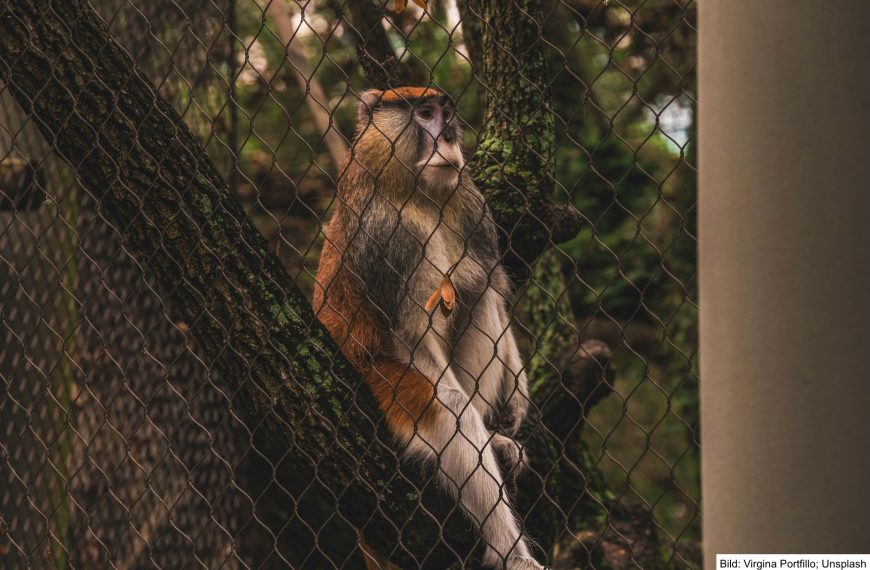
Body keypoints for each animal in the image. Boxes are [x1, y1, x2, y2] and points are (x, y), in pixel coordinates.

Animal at [313, 87, 544, 570]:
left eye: (447, 113)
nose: (450, 137)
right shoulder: (390, 237)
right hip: (380, 380)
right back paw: (511, 554)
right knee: (450, 408)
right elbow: (413, 338)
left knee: (477, 300)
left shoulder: (473, 209)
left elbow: (488, 290)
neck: (415, 194)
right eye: (424, 114)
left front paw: (515, 403)